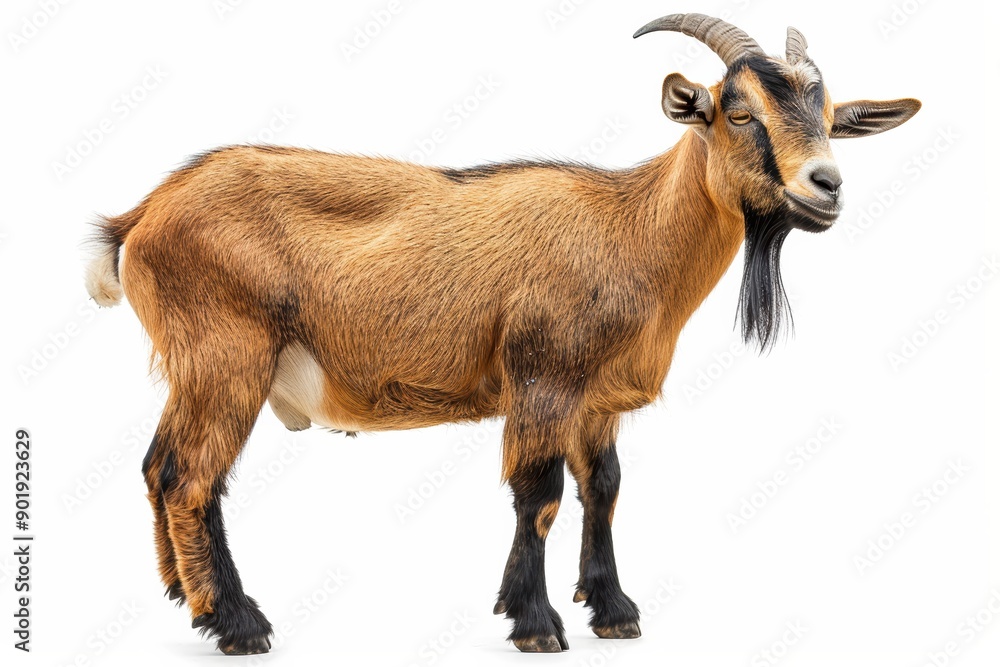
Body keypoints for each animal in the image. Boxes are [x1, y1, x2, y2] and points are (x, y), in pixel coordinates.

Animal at [85, 13, 919, 655]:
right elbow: (539, 494)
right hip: (228, 356)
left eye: (830, 115)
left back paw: (183, 596)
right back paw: (237, 622)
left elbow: (604, 488)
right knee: (192, 477)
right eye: (737, 112)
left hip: (196, 365)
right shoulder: (542, 381)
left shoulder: (596, 400)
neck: (629, 228)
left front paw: (613, 610)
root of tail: (143, 214)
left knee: (158, 466)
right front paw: (536, 622)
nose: (825, 185)